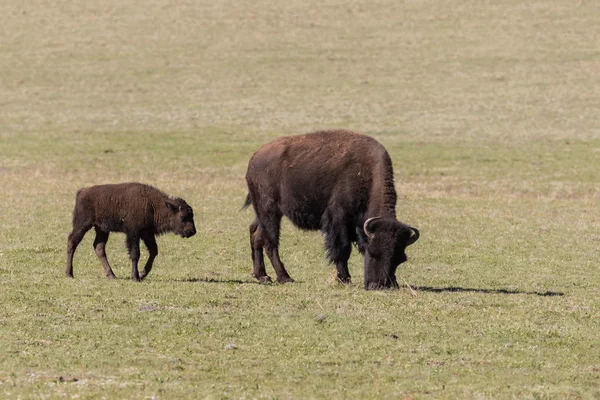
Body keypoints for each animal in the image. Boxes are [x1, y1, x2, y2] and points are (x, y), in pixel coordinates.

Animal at [65, 184, 197, 282]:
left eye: (192, 215)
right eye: (183, 216)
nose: (192, 231)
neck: (152, 205)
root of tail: (82, 191)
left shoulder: (147, 234)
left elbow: (153, 251)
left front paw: (142, 274)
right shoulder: (133, 233)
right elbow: (135, 254)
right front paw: (135, 277)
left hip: (102, 229)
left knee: (99, 247)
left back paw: (112, 275)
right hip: (82, 225)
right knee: (72, 242)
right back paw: (69, 274)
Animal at [241, 130, 420, 290]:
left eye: (400, 259)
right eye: (373, 253)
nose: (380, 285)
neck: (366, 173)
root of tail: (254, 157)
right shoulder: (338, 220)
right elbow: (342, 249)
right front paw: (344, 279)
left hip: (263, 213)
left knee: (256, 234)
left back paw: (262, 276)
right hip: (269, 211)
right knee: (270, 242)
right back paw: (284, 277)